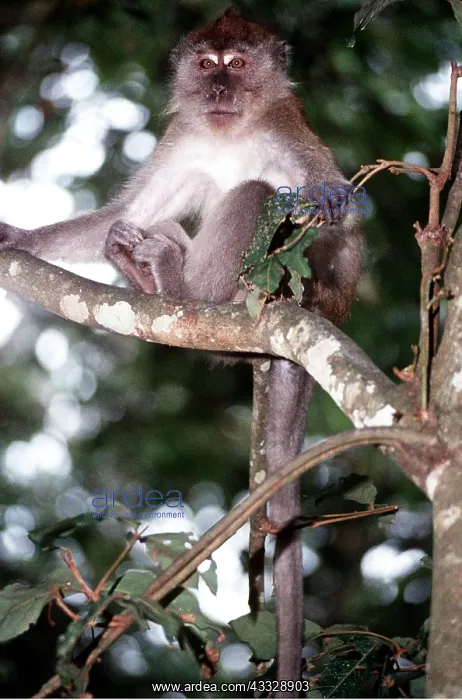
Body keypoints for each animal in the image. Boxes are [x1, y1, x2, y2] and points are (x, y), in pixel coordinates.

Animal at [0, 9, 361, 692]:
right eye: (206, 65)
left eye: (238, 65)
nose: (219, 87)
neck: (230, 131)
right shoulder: (182, 138)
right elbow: (125, 210)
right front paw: (19, 237)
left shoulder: (286, 130)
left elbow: (340, 215)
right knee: (161, 219)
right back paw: (144, 270)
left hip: (280, 292)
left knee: (258, 194)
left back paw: (178, 285)